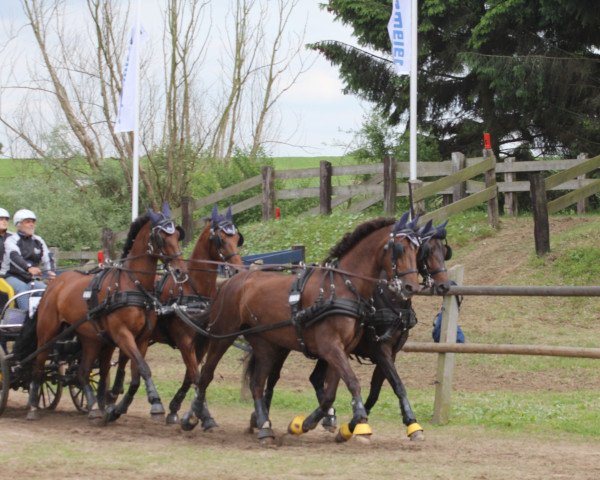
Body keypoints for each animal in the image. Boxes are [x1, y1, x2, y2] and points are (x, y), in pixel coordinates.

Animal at [27, 202, 185, 420]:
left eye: (177, 235)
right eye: (161, 237)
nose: (180, 271)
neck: (133, 284)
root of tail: (54, 283)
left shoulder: (142, 338)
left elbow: (136, 373)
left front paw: (116, 405)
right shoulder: (123, 335)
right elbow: (144, 368)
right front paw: (156, 403)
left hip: (90, 338)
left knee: (83, 372)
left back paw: (94, 407)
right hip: (47, 333)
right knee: (39, 365)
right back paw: (33, 406)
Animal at [108, 204, 244, 422]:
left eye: (237, 238)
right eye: (221, 239)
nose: (239, 270)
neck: (194, 288)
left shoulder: (202, 343)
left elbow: (191, 376)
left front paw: (175, 408)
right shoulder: (184, 340)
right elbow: (196, 376)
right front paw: (202, 415)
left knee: (125, 360)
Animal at [180, 213, 420, 442]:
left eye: (417, 249)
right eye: (400, 249)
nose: (412, 287)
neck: (342, 287)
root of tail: (231, 281)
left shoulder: (342, 350)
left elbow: (331, 393)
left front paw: (305, 424)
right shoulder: (332, 347)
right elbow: (352, 381)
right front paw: (360, 422)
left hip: (266, 344)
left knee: (257, 383)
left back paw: (264, 426)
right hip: (223, 335)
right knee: (206, 375)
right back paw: (194, 417)